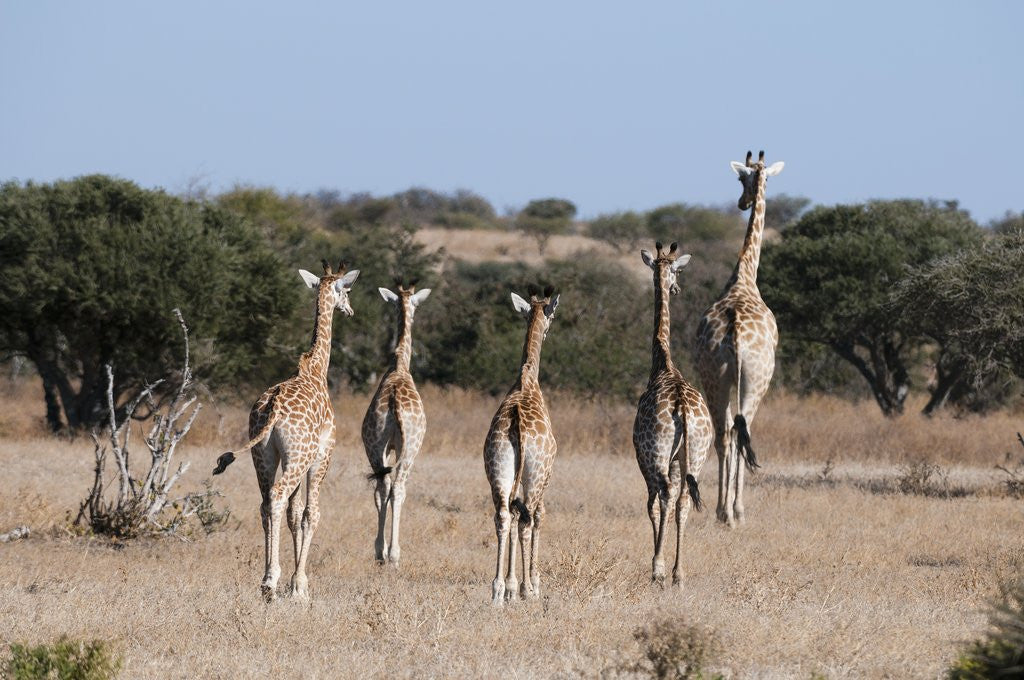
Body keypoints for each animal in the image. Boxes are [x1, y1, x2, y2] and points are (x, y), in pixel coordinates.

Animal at [212, 260, 360, 601]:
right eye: (346, 290)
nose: (350, 310)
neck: (316, 370)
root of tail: (273, 406)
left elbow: (294, 514)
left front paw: (293, 583)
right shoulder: (322, 456)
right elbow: (310, 514)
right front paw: (300, 585)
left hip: (263, 455)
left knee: (266, 503)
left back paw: (268, 581)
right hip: (299, 457)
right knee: (278, 498)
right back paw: (270, 582)